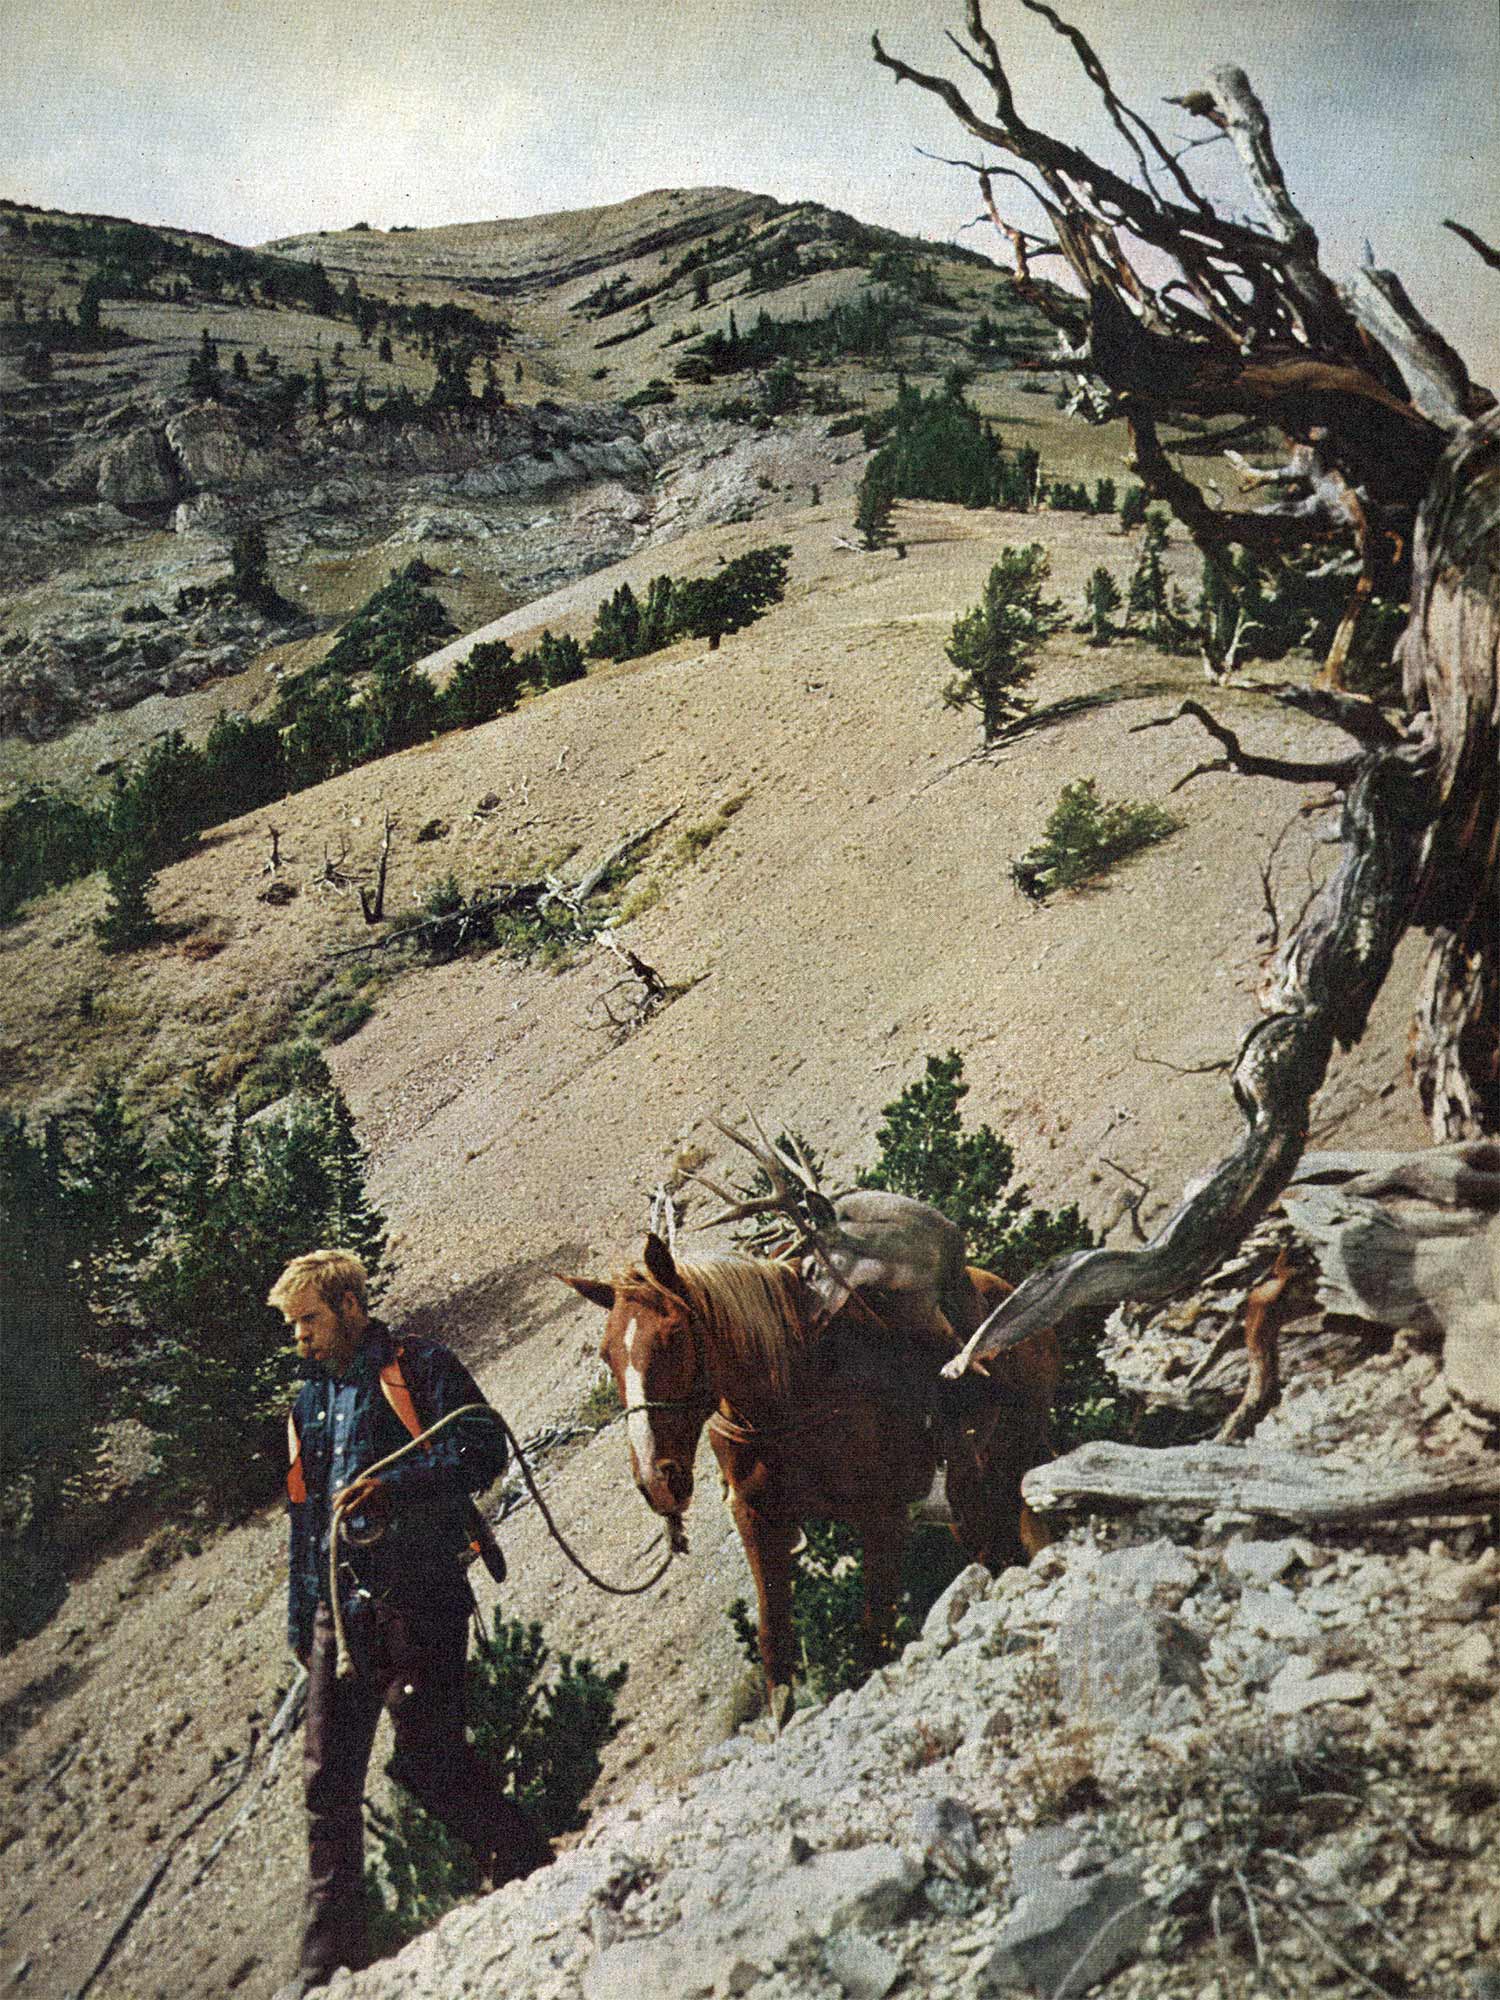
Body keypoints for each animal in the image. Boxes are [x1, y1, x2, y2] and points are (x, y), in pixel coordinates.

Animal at [560, 1240, 1064, 1712]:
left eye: (674, 1337)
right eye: (607, 1356)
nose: (657, 1480)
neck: (788, 1394)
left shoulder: (881, 1516)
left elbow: (875, 1630)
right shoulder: (757, 1520)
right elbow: (774, 1642)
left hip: (1023, 1452)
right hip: (969, 1502)